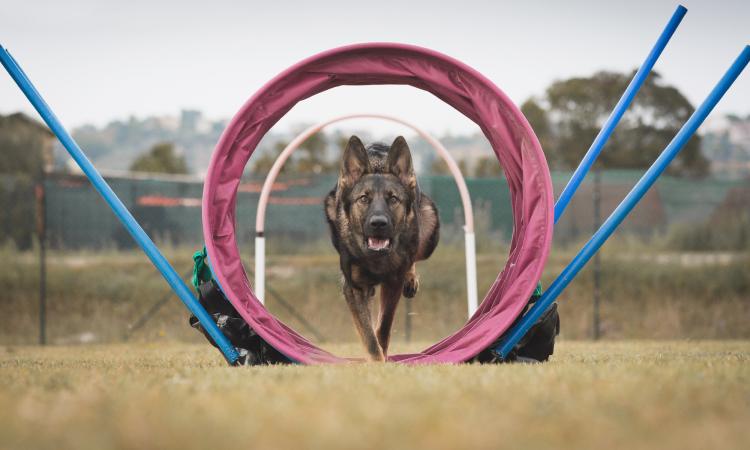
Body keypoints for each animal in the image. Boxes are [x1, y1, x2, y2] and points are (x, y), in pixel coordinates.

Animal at [324, 135, 440, 360]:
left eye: (393, 198)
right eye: (364, 198)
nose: (378, 223)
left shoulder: (393, 282)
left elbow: (383, 327)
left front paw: (383, 357)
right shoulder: (354, 289)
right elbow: (369, 336)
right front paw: (377, 361)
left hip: (429, 229)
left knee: (414, 255)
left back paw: (411, 279)